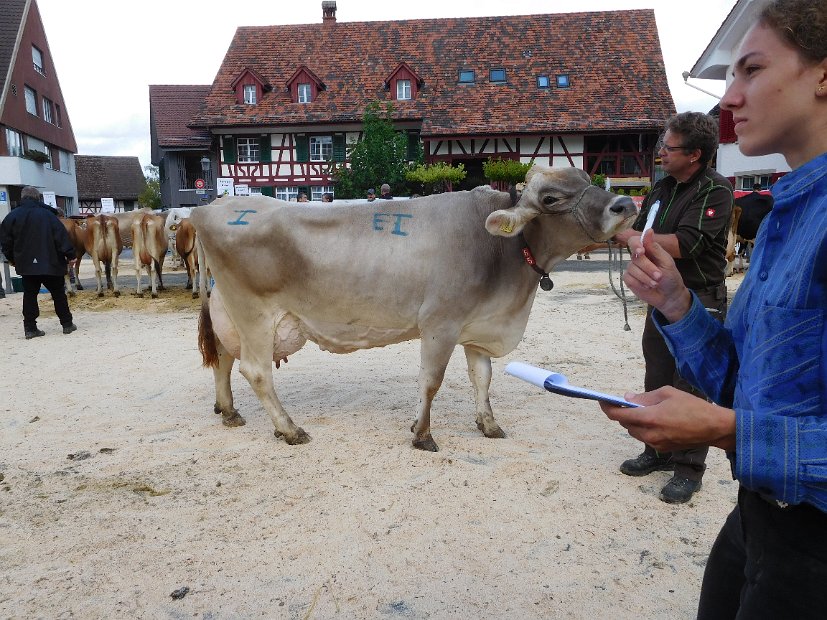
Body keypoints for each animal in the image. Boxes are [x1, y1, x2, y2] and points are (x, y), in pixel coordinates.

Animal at [194, 165, 632, 450]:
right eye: (551, 198)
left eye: (589, 180)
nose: (625, 203)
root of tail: (208, 209)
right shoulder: (441, 323)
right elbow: (431, 381)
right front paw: (422, 434)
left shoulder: (479, 326)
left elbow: (482, 378)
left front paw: (489, 425)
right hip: (254, 313)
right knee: (256, 371)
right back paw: (289, 429)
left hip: (229, 313)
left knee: (223, 360)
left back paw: (229, 411)